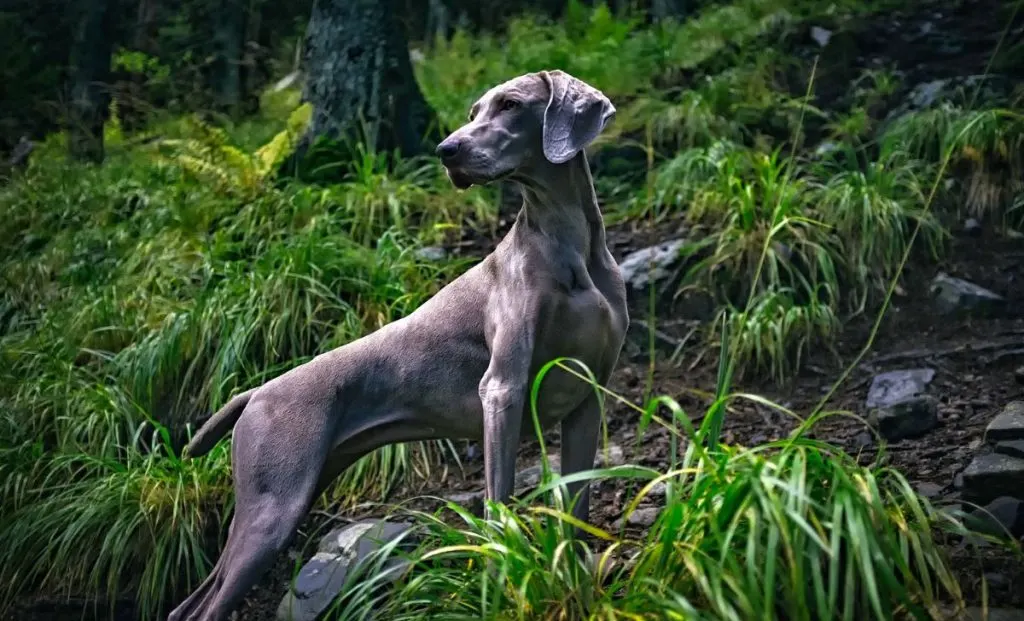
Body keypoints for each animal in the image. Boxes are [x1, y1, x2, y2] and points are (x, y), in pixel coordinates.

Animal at [167, 69, 626, 621]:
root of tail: (254, 392)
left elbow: (576, 510)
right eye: (473, 112)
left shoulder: (587, 397)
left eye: (511, 105)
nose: (446, 150)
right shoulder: (502, 390)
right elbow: (499, 504)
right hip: (271, 510)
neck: (568, 244)